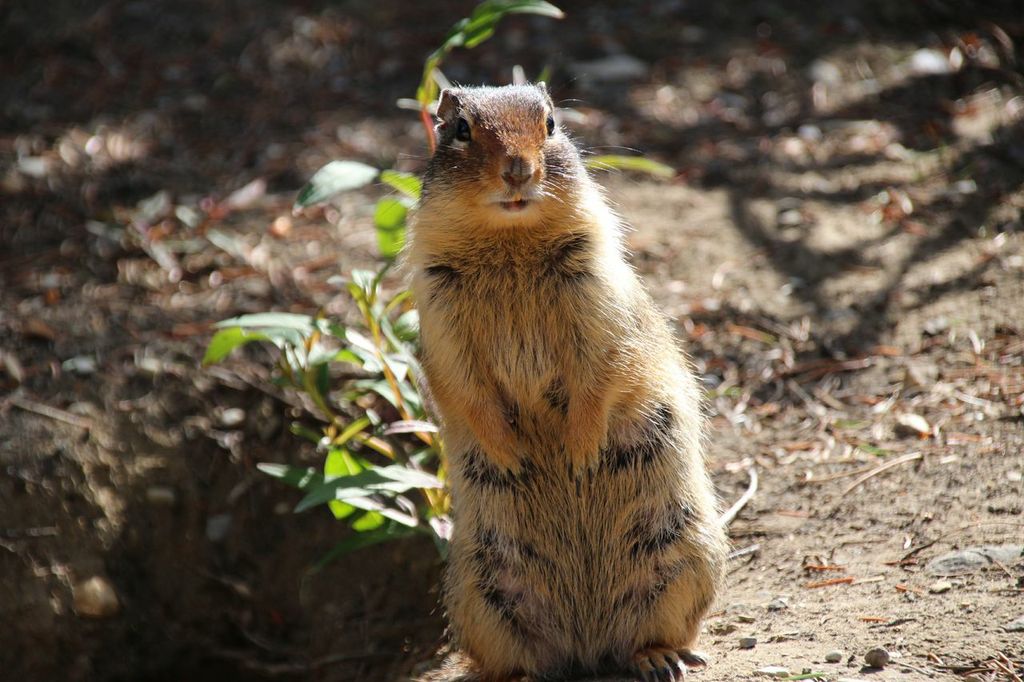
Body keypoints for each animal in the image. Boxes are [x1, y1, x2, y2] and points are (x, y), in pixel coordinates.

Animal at [407, 84, 729, 679]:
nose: (518, 170)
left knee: (650, 633)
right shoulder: (439, 315)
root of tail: (586, 643)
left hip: (682, 554)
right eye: (459, 129)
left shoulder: (596, 293)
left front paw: (580, 453)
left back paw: (659, 657)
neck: (509, 243)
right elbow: (464, 389)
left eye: (552, 124)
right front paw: (511, 455)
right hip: (483, 590)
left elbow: (601, 373)